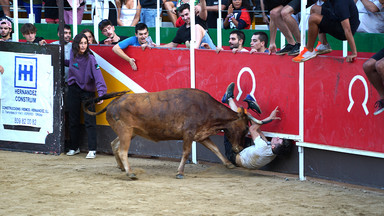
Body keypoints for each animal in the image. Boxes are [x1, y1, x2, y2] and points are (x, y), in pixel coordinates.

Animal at [85, 88, 249, 180]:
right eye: (245, 129)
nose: (239, 149)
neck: (206, 109)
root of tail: (112, 104)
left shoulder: (201, 135)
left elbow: (215, 148)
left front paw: (229, 164)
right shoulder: (188, 133)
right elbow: (186, 152)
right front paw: (180, 173)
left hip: (130, 132)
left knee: (114, 144)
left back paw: (121, 167)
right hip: (125, 131)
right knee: (122, 150)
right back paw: (130, 173)